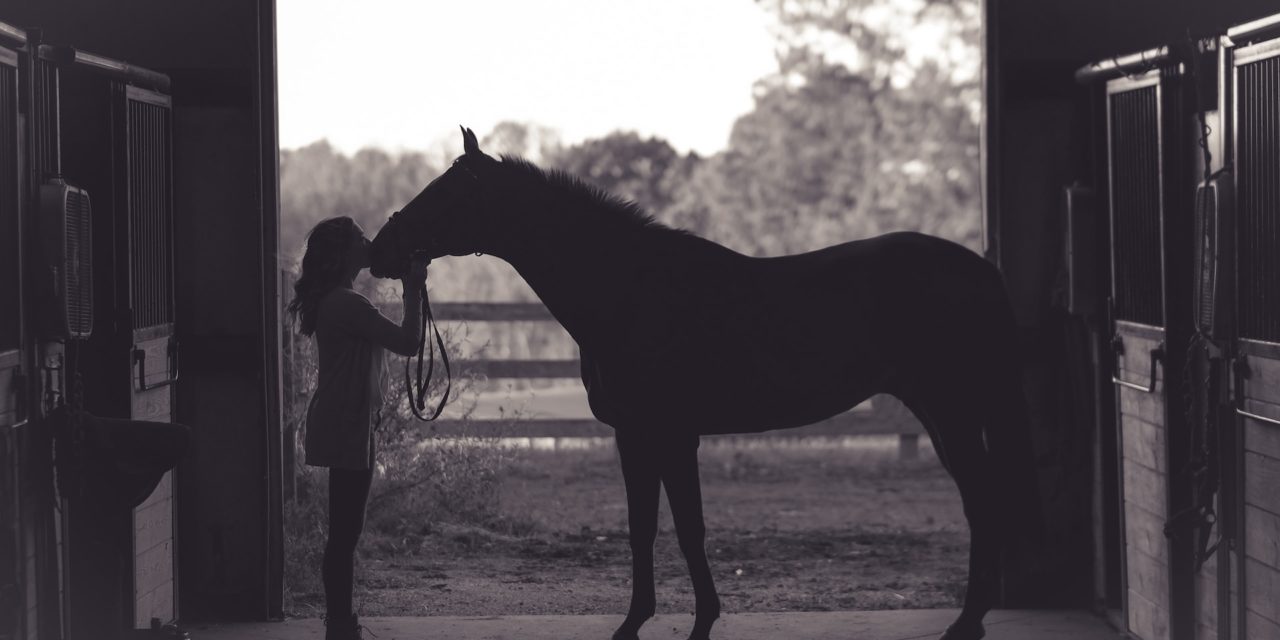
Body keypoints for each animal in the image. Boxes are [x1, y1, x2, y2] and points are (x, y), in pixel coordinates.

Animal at [368, 127, 1039, 640]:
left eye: (446, 193)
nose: (380, 250)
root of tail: (981, 268)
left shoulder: (672, 433)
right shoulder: (634, 436)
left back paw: (966, 623)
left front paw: (700, 623)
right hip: (940, 412)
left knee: (983, 501)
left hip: (952, 412)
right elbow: (643, 527)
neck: (631, 291)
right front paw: (634, 623)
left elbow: (688, 528)